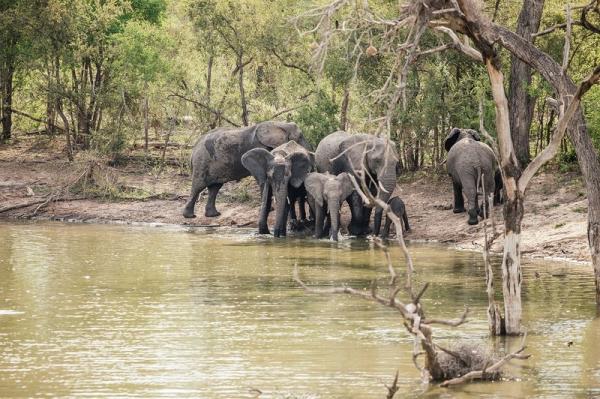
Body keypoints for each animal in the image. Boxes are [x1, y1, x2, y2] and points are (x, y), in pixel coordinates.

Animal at [182, 121, 310, 219]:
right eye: (300, 136)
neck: (280, 124)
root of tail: (194, 148)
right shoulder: (262, 147)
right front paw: (270, 209)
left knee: (215, 187)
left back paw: (214, 215)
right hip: (202, 162)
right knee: (198, 186)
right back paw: (190, 216)